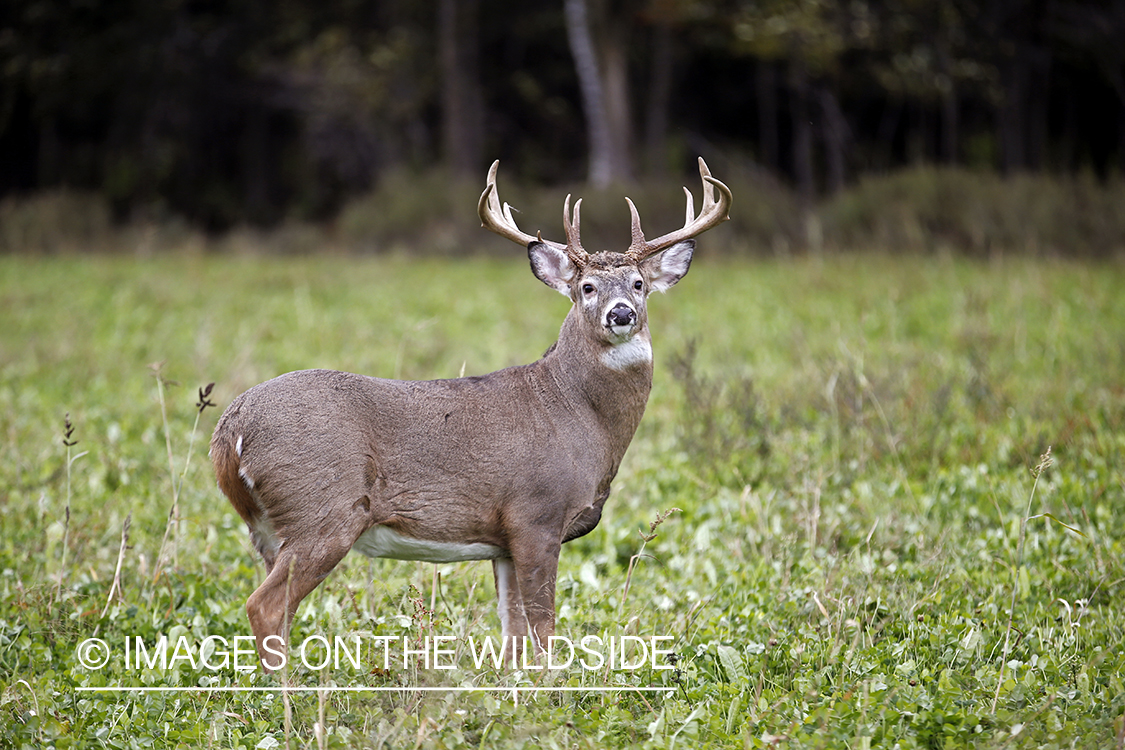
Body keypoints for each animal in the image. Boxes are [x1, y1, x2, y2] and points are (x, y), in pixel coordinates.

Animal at [211, 157, 733, 670]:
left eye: (639, 283)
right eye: (586, 287)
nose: (621, 313)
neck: (579, 415)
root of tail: (230, 427)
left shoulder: (502, 540)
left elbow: (513, 634)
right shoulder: (536, 514)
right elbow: (543, 630)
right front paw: (552, 691)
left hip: (268, 530)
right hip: (322, 509)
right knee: (266, 606)